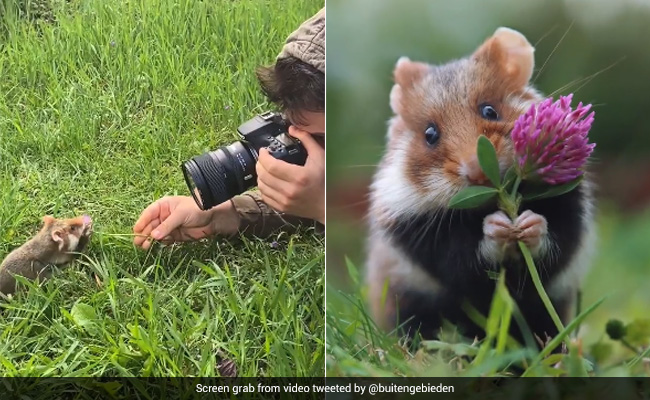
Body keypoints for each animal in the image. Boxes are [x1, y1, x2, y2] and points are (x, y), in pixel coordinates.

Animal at [365, 27, 596, 345]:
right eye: (429, 134)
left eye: (489, 111)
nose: (477, 172)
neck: (490, 201)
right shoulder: (421, 237)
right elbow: (464, 257)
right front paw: (497, 227)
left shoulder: (571, 210)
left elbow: (554, 240)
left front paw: (527, 223)